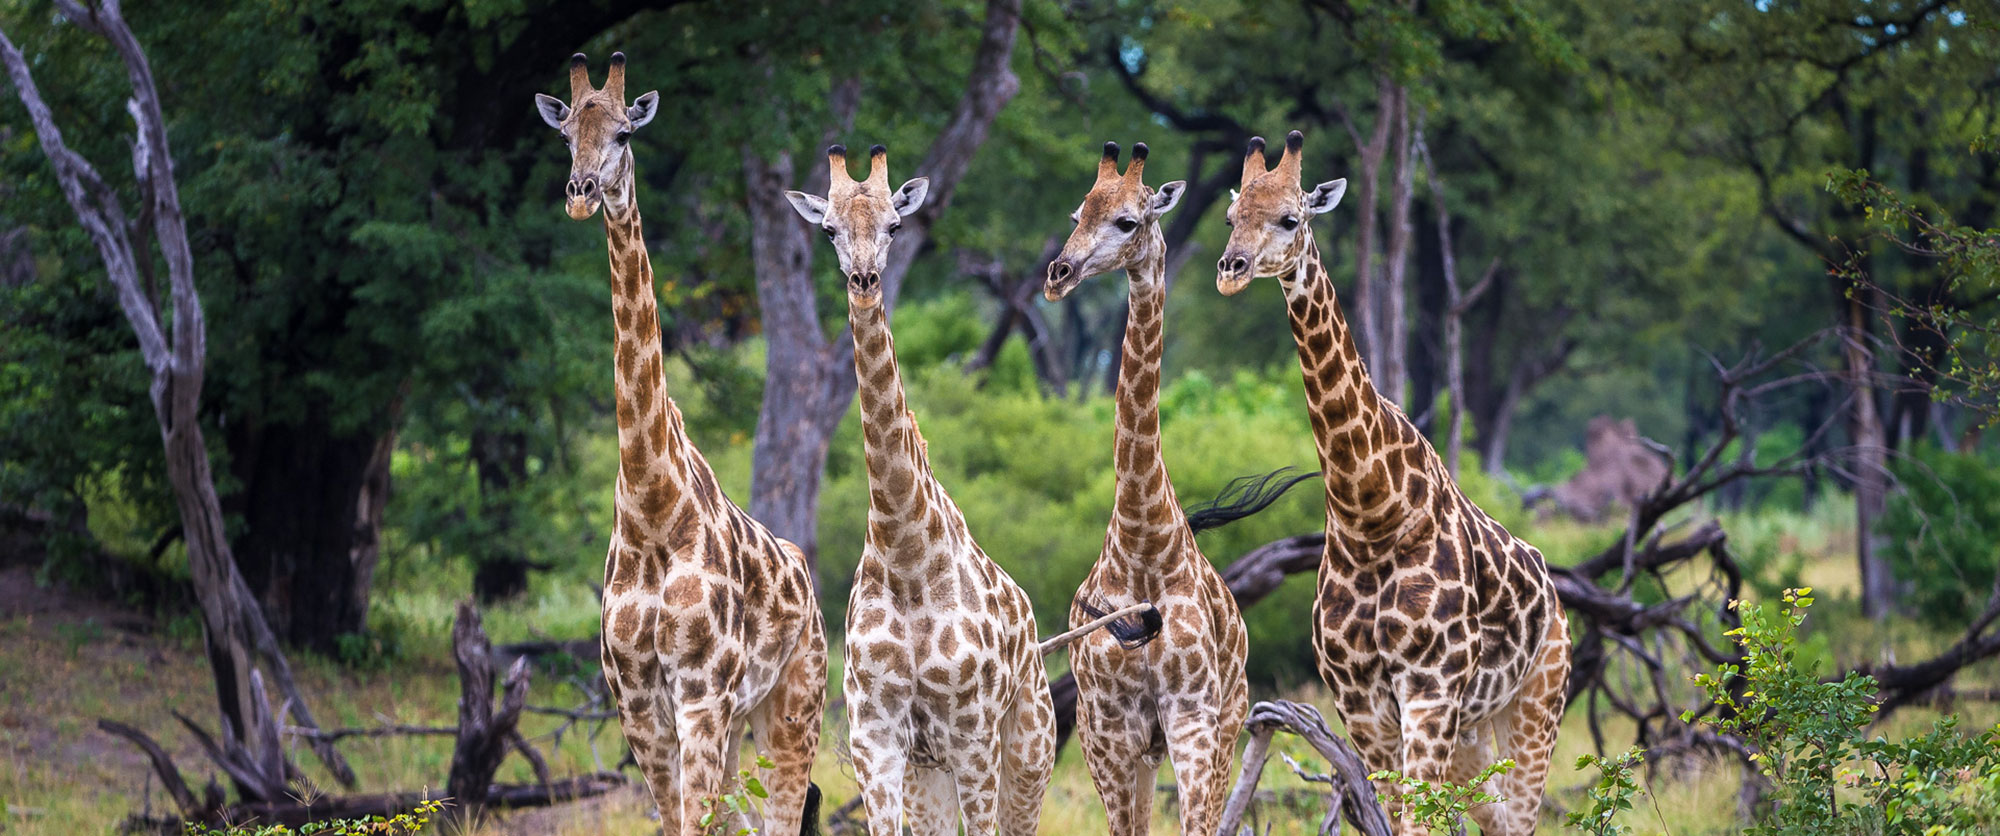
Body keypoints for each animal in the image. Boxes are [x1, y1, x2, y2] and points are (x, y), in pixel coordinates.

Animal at [532, 54, 828, 836]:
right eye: (565, 133)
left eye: (626, 134)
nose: (581, 196)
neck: (650, 499)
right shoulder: (638, 705)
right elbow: (676, 822)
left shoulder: (702, 692)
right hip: (741, 720)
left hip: (794, 704)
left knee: (783, 813)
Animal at [780, 145, 1064, 836]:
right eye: (829, 229)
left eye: (895, 226)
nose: (864, 281)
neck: (905, 550)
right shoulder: (876, 740)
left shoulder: (971, 738)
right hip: (927, 773)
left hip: (1029, 749)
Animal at [1208, 131, 1568, 836]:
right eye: (1232, 216)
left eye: (1290, 218)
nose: (1230, 269)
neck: (1369, 512)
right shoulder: (1361, 703)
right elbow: (1398, 815)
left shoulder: (1430, 689)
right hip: (1474, 734)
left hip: (1536, 709)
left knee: (1521, 817)